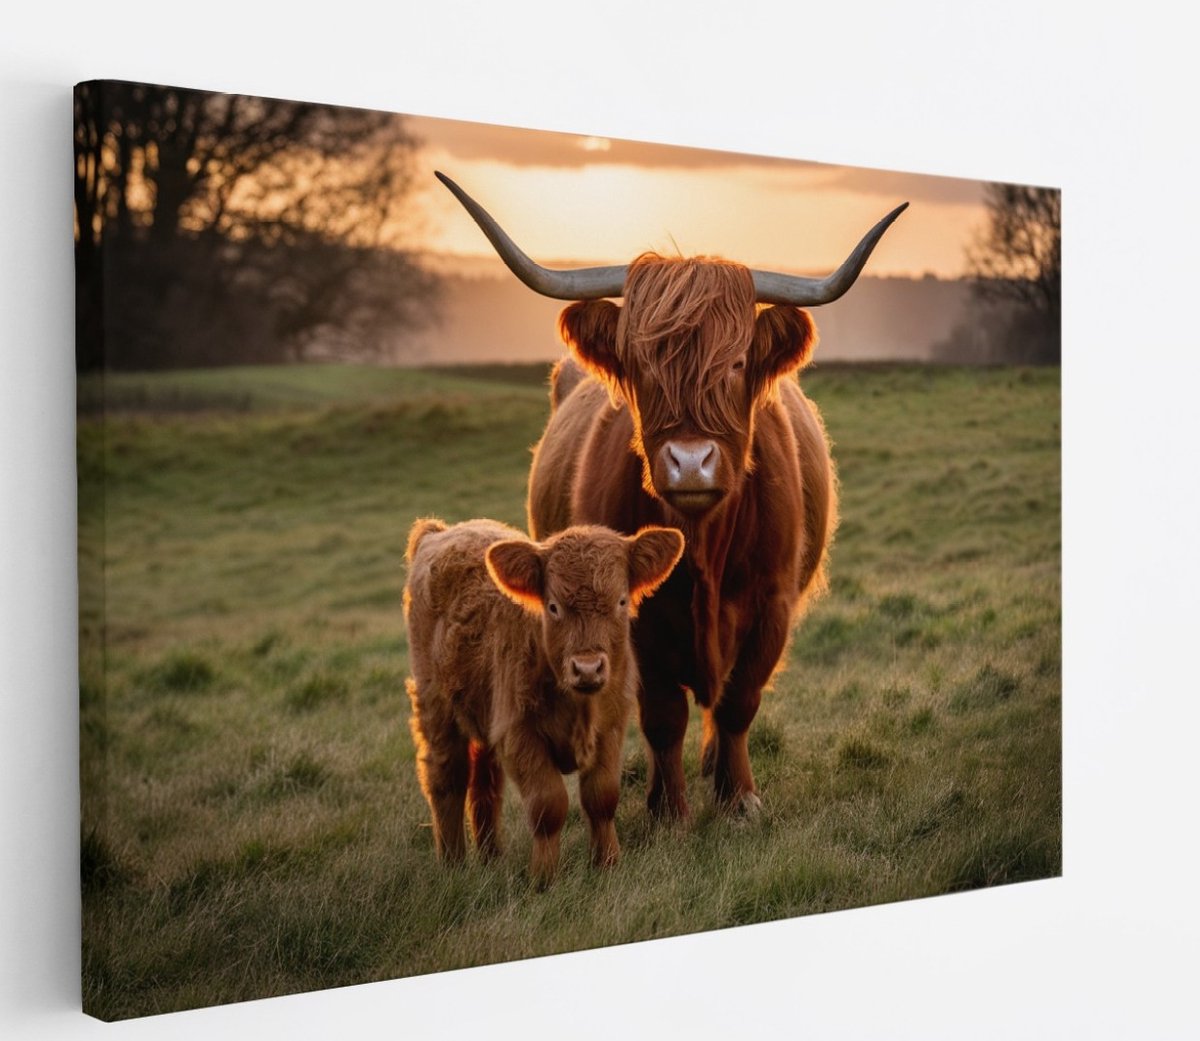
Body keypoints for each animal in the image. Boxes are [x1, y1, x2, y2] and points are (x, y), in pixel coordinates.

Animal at [404, 517, 684, 881]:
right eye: (553, 607)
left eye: (621, 601)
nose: (588, 668)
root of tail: (443, 531)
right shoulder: (520, 734)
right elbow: (548, 805)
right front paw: (544, 877)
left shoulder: (611, 727)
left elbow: (602, 797)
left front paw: (607, 863)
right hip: (435, 706)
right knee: (446, 779)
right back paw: (453, 865)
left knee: (485, 785)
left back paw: (492, 856)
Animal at [436, 172, 906, 819]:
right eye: (641, 367)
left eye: (736, 363)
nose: (689, 462)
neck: (703, 545)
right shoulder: (629, 618)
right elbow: (662, 717)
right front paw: (669, 809)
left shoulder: (772, 605)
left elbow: (737, 703)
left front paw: (739, 798)